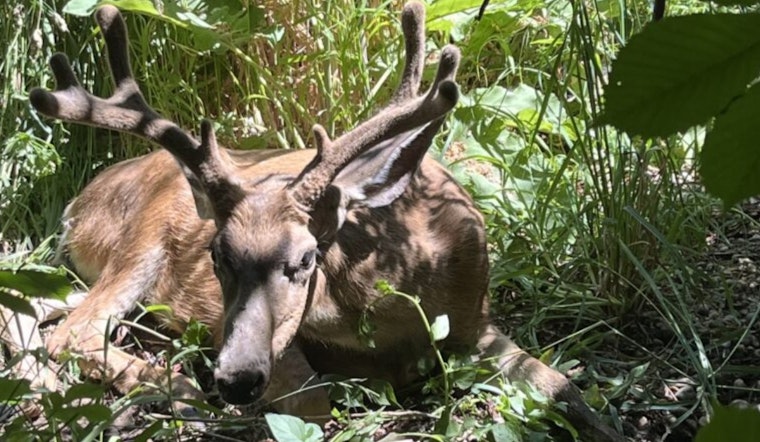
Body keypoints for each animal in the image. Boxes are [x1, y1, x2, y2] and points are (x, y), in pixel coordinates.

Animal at [27, 3, 621, 441]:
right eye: (216, 255)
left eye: (307, 257)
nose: (235, 380)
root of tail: (81, 201)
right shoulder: (249, 332)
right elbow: (313, 403)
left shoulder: (477, 319)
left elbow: (565, 387)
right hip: (142, 242)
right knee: (75, 331)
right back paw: (180, 389)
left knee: (49, 309)